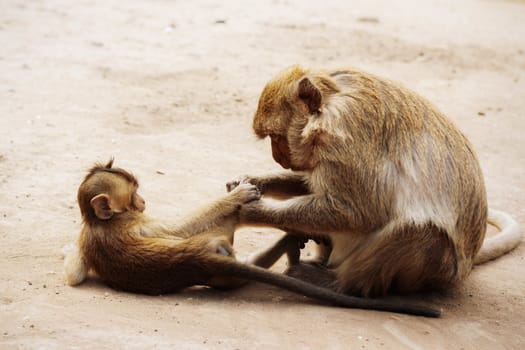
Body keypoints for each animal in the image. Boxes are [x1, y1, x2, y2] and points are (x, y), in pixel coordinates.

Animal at [62, 161, 438, 318]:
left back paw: (291, 245)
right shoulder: (139, 224)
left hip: (222, 272)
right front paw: (238, 197)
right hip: (217, 244)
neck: (100, 222)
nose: (142, 201)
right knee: (221, 228)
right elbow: (181, 227)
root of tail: (202, 260)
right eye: (134, 196)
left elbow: (73, 275)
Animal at [229, 65, 520, 296]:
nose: (277, 157)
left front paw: (251, 210)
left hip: (436, 271)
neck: (330, 105)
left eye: (275, 137)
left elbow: (357, 211)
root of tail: (466, 267)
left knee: (423, 232)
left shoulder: (345, 139)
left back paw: (341, 285)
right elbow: (315, 185)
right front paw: (256, 181)